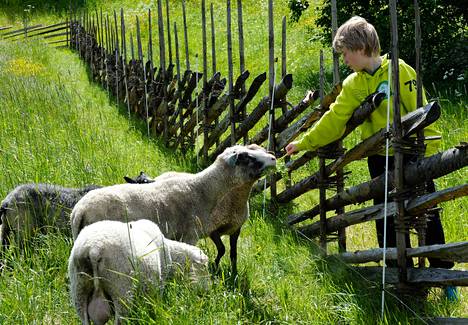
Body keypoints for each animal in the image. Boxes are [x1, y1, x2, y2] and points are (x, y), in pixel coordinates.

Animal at [68, 218, 208, 324]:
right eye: (204, 268)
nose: (206, 292)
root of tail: (94, 249)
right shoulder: (157, 285)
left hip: (79, 289)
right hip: (121, 288)